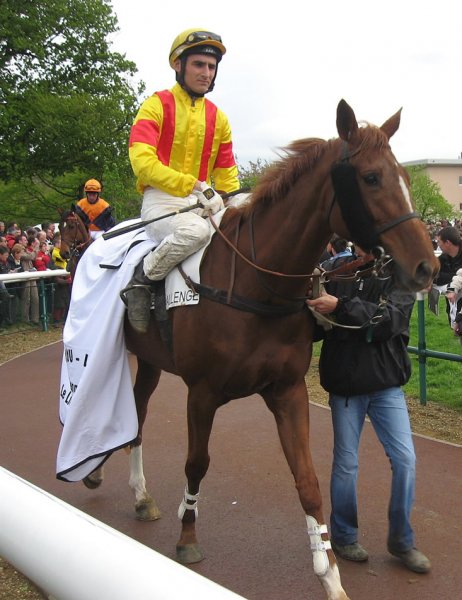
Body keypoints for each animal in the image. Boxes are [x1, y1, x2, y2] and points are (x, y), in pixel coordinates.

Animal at [84, 99, 440, 600]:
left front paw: (330, 575)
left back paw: (135, 493)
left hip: (151, 360)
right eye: (371, 177)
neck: (257, 284)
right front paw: (187, 535)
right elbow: (196, 463)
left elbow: (308, 480)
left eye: (407, 178)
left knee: (136, 412)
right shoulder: (202, 393)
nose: (428, 266)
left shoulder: (287, 391)